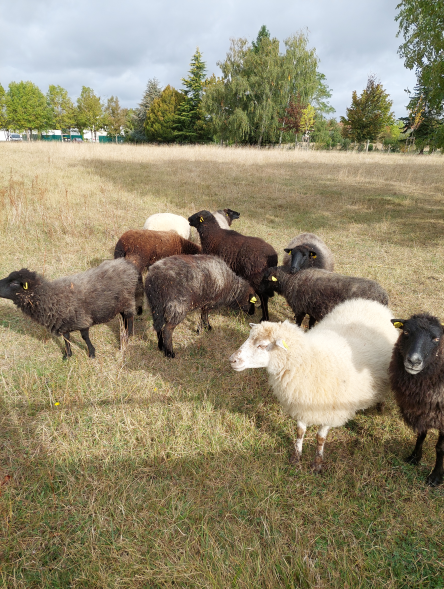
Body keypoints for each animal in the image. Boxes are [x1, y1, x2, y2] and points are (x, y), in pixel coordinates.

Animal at [0, 258, 139, 358]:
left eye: (14, 283)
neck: (50, 297)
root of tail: (127, 263)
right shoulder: (63, 323)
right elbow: (66, 338)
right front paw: (68, 355)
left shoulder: (82, 320)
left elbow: (84, 337)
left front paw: (92, 353)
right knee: (125, 318)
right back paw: (124, 332)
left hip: (127, 301)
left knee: (130, 317)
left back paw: (127, 337)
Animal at [390, 314, 444, 484]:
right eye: (406, 332)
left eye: (436, 339)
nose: (413, 361)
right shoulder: (421, 410)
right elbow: (421, 435)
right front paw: (414, 457)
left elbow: (440, 448)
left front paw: (436, 476)